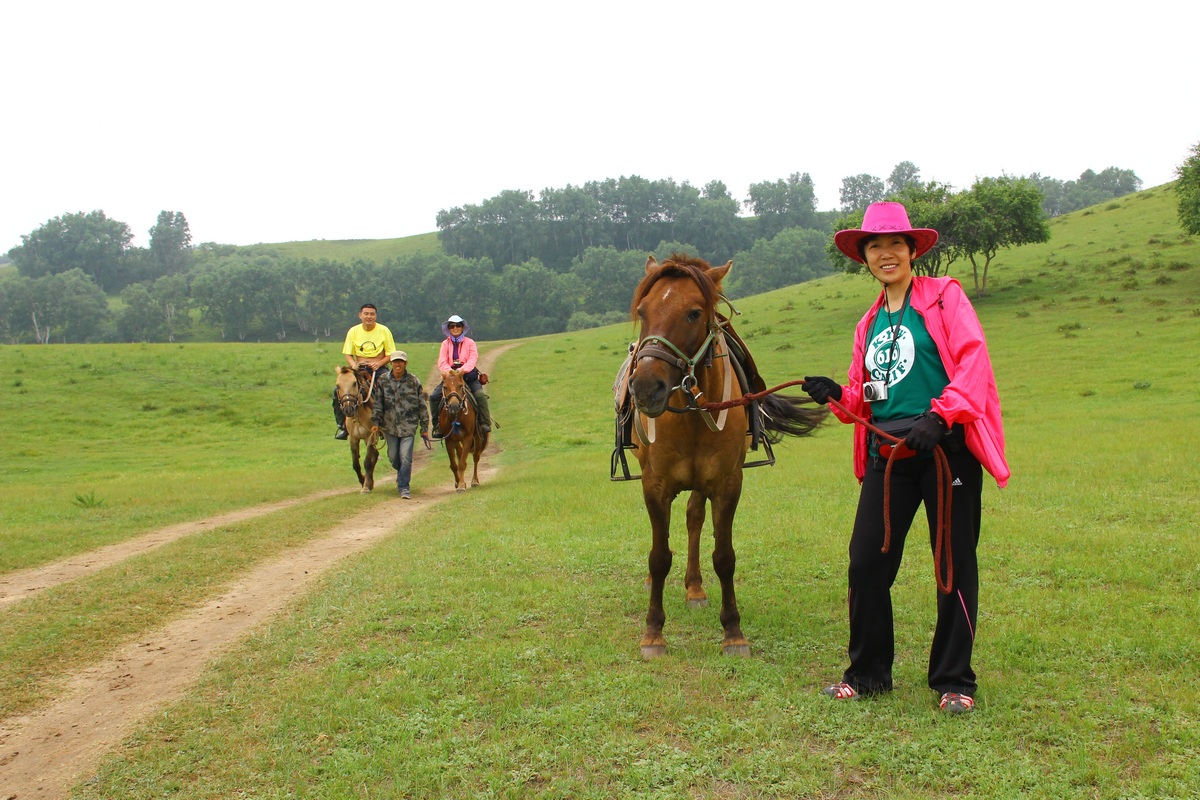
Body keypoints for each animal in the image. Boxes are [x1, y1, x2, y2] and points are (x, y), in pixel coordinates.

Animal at [628, 253, 825, 662]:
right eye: (642, 311)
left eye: (693, 313)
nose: (645, 388)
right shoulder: (654, 485)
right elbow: (658, 556)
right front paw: (653, 634)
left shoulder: (726, 483)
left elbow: (724, 556)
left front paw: (733, 633)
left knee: (693, 519)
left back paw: (695, 588)